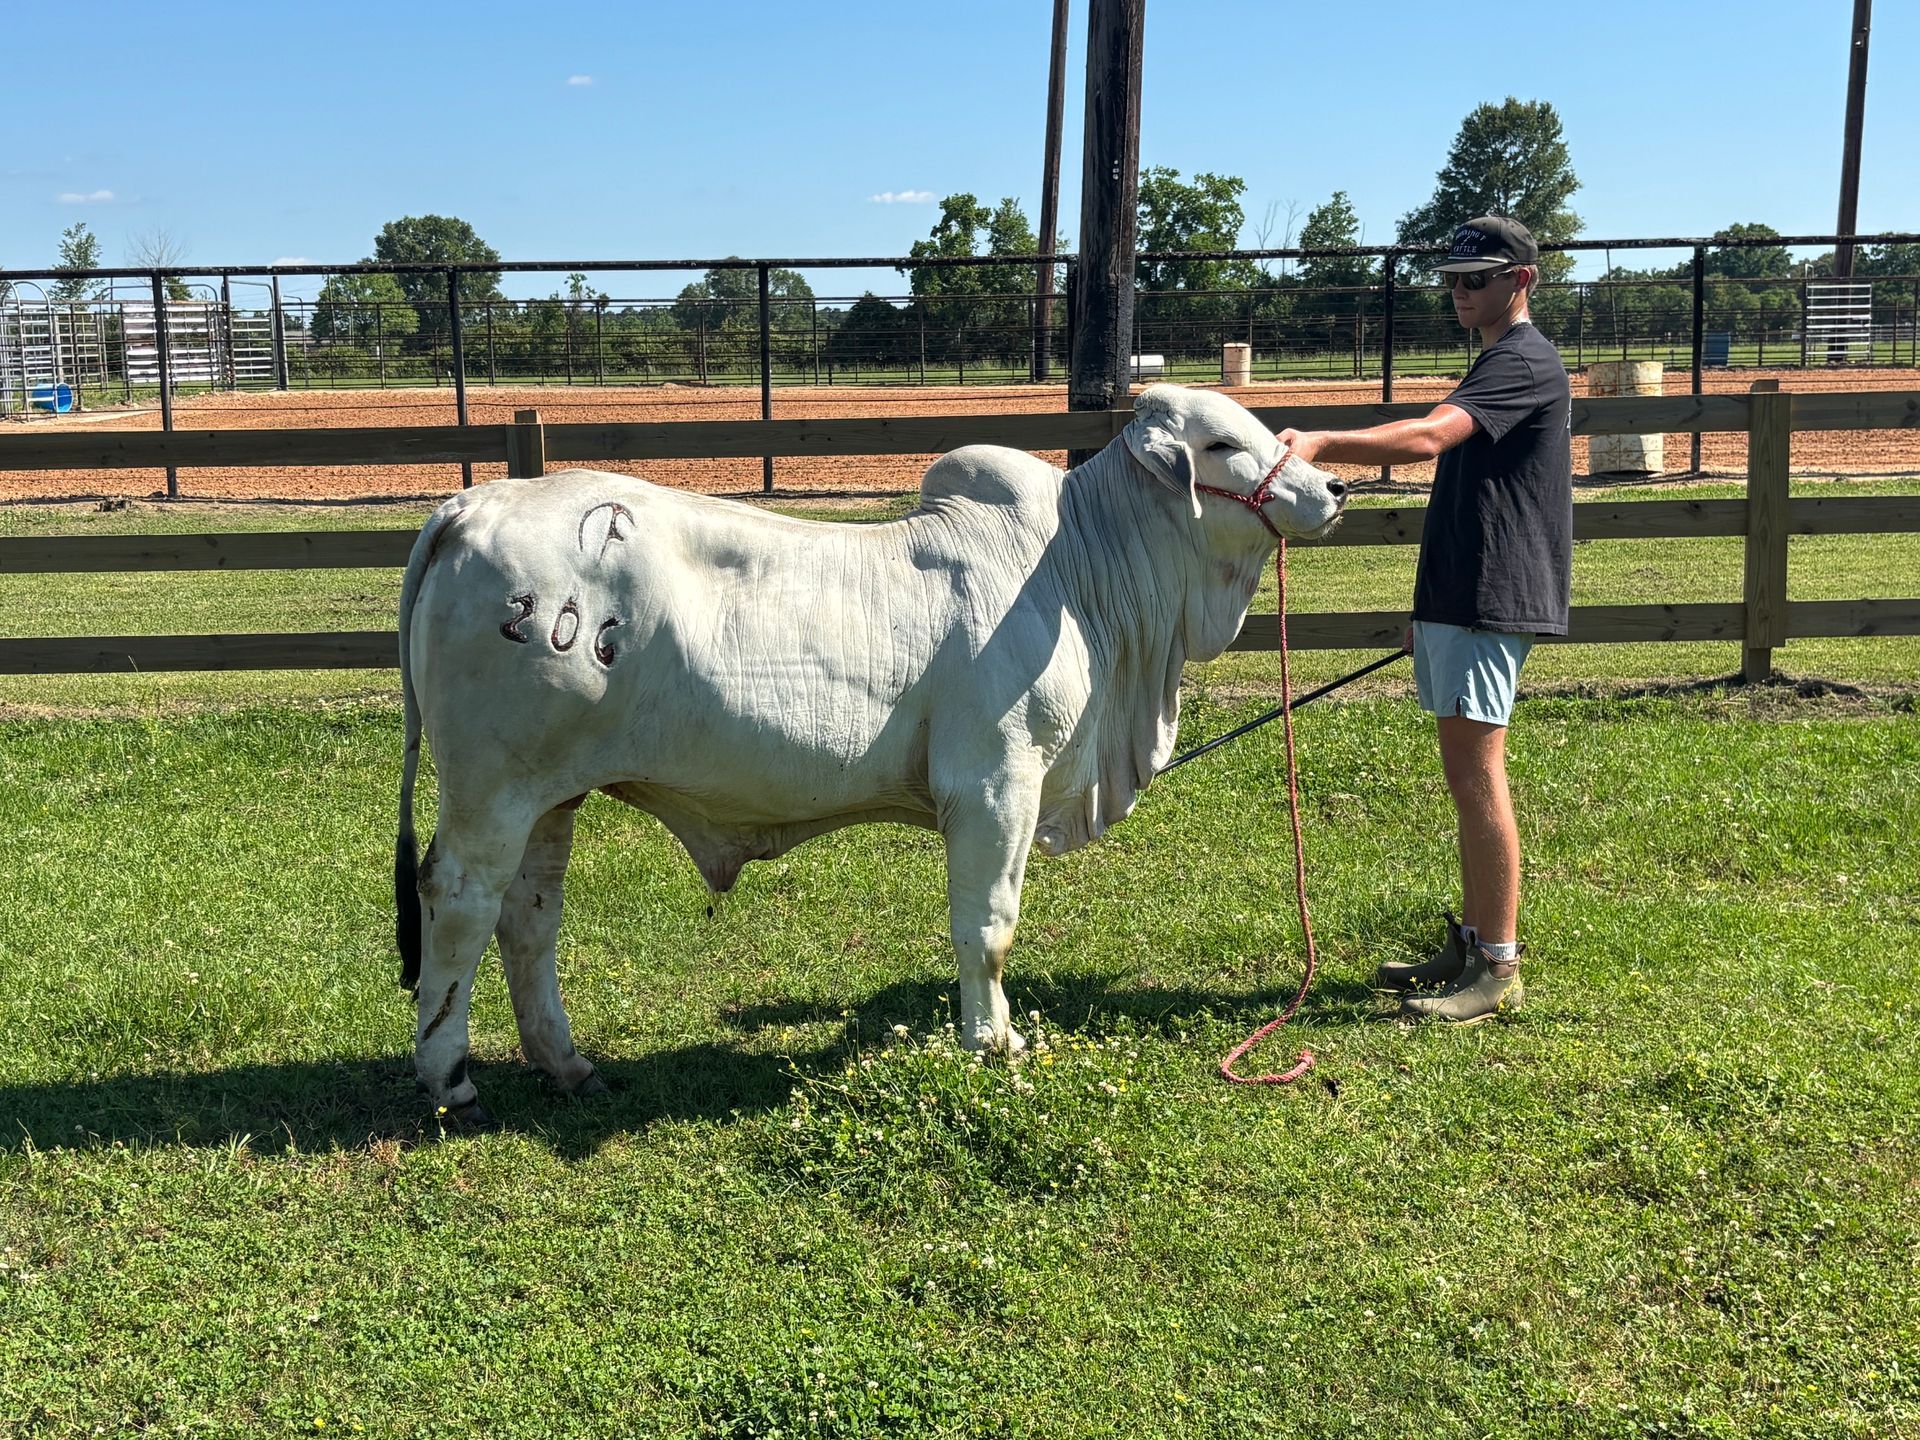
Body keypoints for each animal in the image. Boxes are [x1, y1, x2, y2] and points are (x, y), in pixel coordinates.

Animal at [394, 384, 1347, 1124]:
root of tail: (472, 504)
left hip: (551, 794)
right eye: (1222, 443)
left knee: (529, 917)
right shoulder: (998, 781)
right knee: (460, 901)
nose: (1333, 485)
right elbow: (987, 927)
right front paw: (993, 1042)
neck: (1083, 571)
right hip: (491, 787)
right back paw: (451, 1080)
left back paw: (566, 1064)